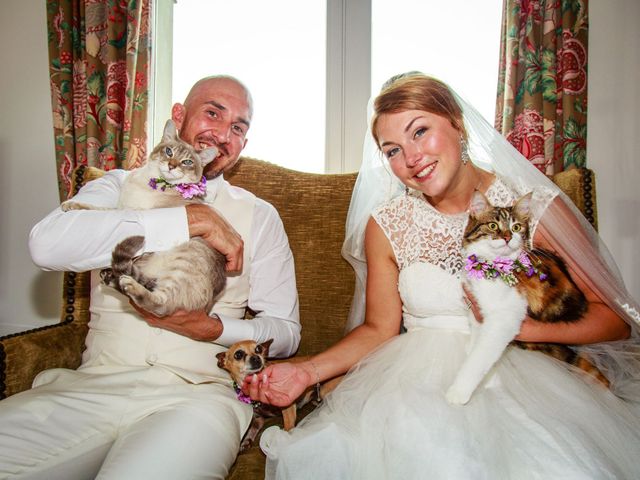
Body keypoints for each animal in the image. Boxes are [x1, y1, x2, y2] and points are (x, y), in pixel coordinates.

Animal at [62, 118, 228, 316]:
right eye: (169, 151)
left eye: (187, 162)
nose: (171, 165)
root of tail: (210, 304)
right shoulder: (123, 207)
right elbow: (98, 208)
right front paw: (72, 205)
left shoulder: (136, 211)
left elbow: (107, 211)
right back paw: (112, 277)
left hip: (180, 266)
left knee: (161, 305)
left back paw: (130, 285)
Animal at [448, 190, 604, 404]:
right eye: (493, 225)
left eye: (516, 227)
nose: (507, 237)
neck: (490, 265)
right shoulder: (478, 315)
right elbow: (475, 349)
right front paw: (486, 382)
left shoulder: (503, 320)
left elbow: (478, 359)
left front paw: (458, 392)